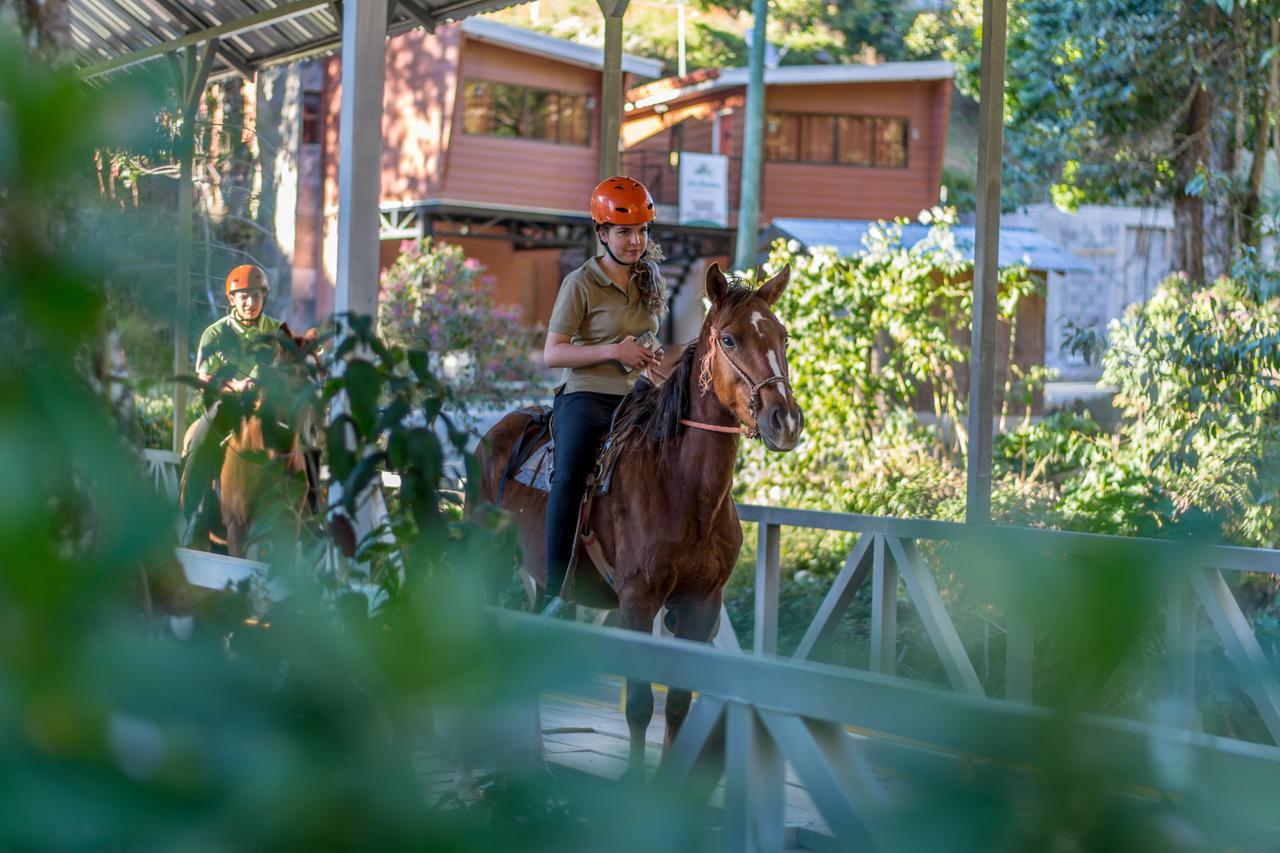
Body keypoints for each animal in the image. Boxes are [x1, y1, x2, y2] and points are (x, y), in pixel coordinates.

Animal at [476, 261, 803, 768]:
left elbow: (678, 705)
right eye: (729, 340)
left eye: (783, 337)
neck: (684, 486)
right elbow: (641, 706)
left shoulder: (701, 605)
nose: (784, 420)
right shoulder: (637, 602)